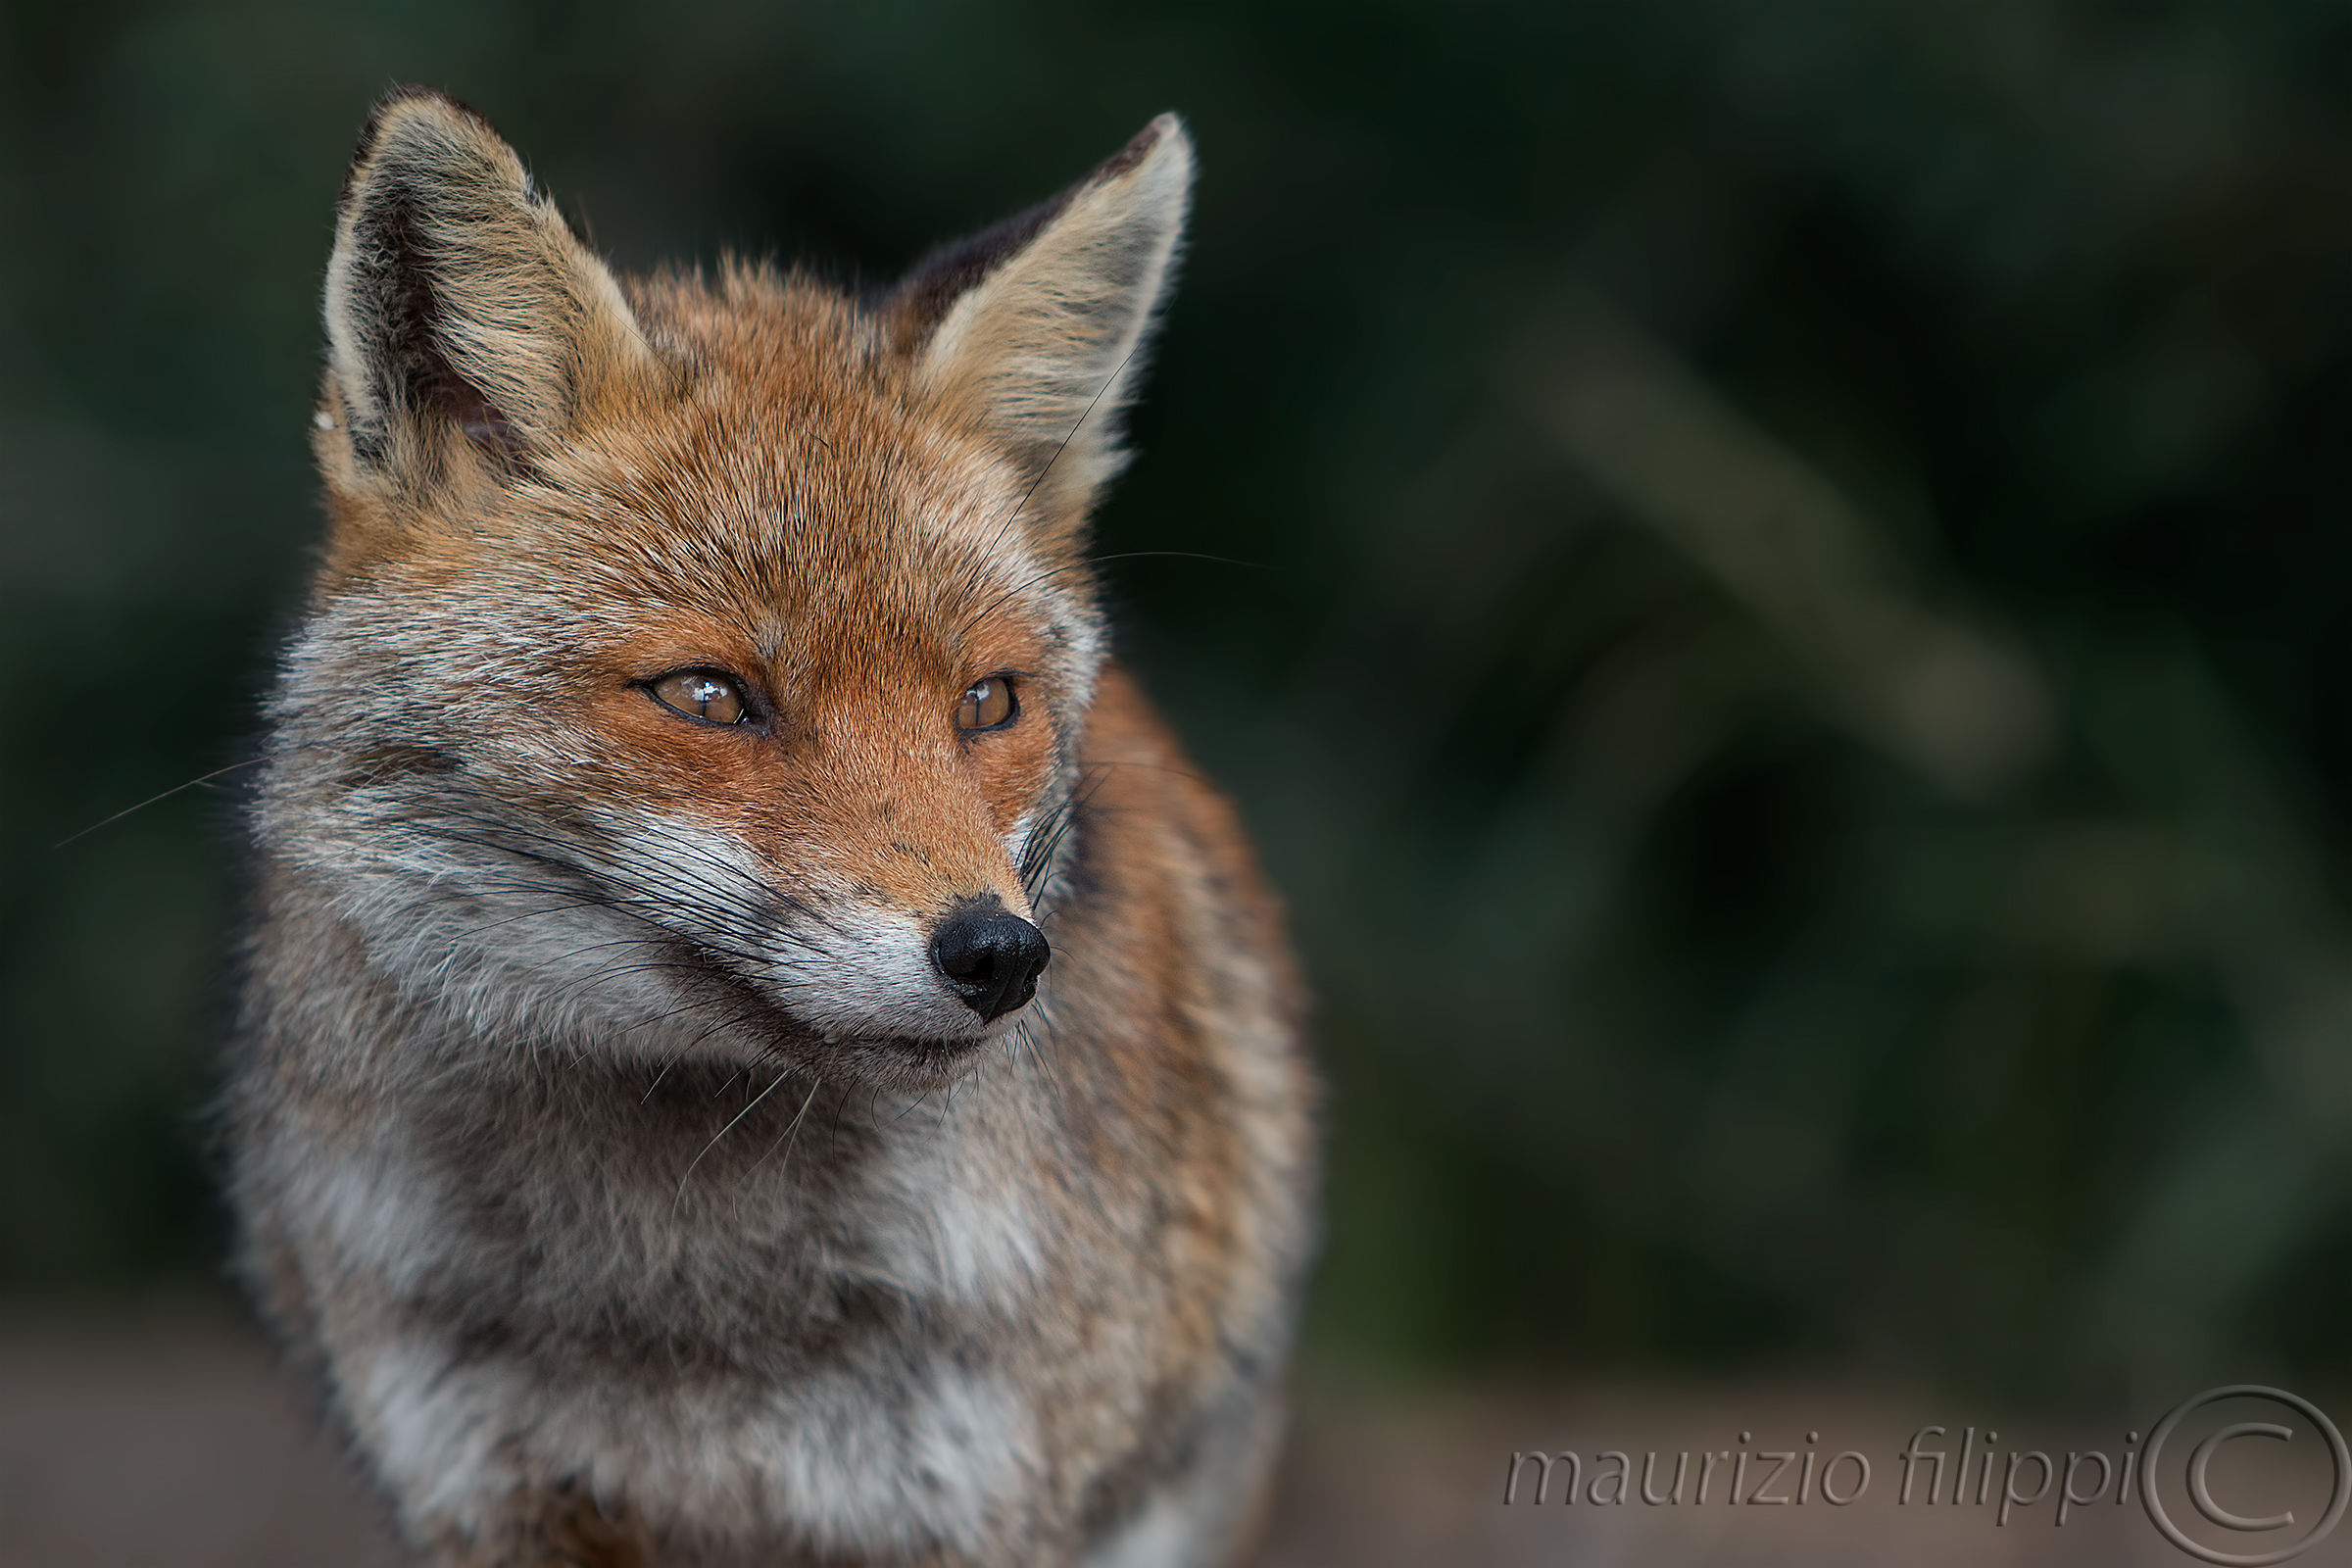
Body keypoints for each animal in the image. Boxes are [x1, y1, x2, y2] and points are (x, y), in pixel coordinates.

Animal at [223, 88, 1318, 1568]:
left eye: (987, 701)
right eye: (710, 695)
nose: (997, 956)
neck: (682, 1302)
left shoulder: (965, 1502)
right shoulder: (497, 1497)